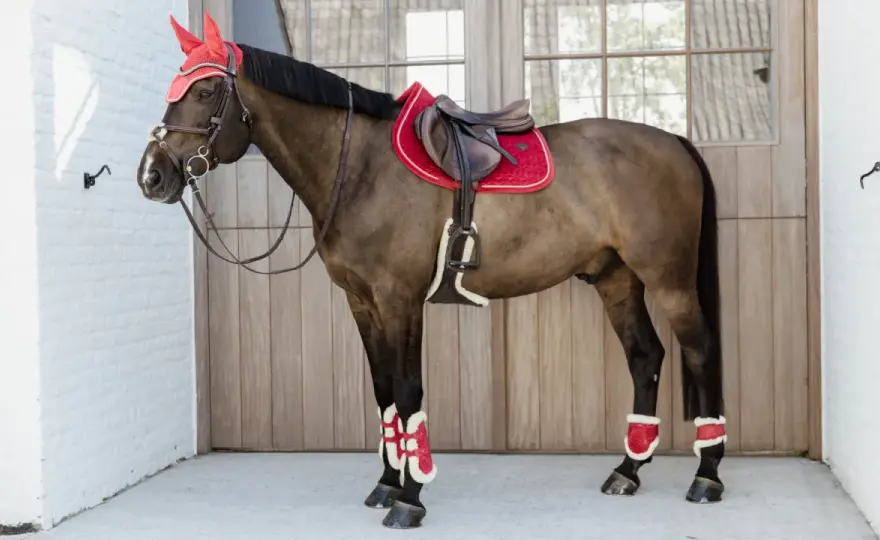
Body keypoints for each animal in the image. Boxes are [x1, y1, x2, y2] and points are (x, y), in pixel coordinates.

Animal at [136, 11, 728, 530]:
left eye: (205, 92)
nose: (152, 175)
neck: (361, 168)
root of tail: (673, 141)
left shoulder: (400, 299)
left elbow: (408, 391)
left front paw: (411, 498)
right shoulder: (362, 302)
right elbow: (382, 391)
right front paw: (386, 484)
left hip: (670, 280)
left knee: (700, 351)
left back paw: (707, 476)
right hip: (616, 279)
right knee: (645, 357)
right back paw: (628, 470)